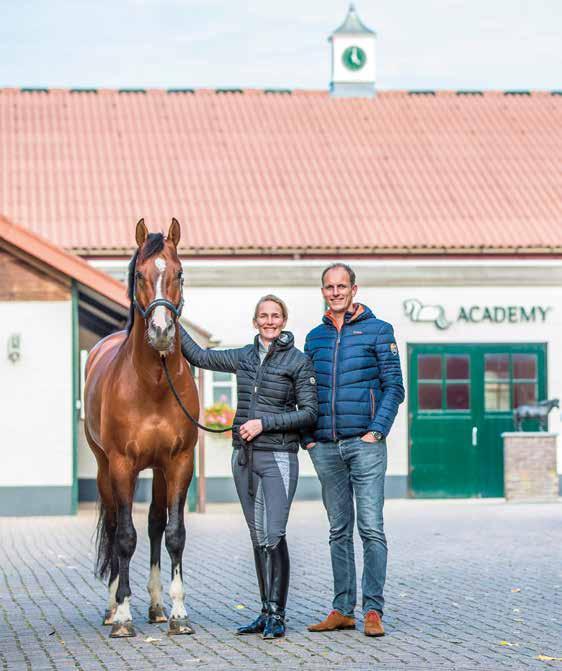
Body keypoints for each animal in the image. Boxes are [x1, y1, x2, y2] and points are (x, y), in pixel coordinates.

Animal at [82, 218, 198, 636]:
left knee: (153, 525)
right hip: (105, 469)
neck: (153, 385)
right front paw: (123, 616)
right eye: (140, 275)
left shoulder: (179, 463)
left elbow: (174, 534)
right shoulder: (121, 465)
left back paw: (157, 606)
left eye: (179, 273)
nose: (161, 332)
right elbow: (124, 537)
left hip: (159, 471)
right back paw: (113, 606)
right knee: (117, 526)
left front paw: (178, 614)